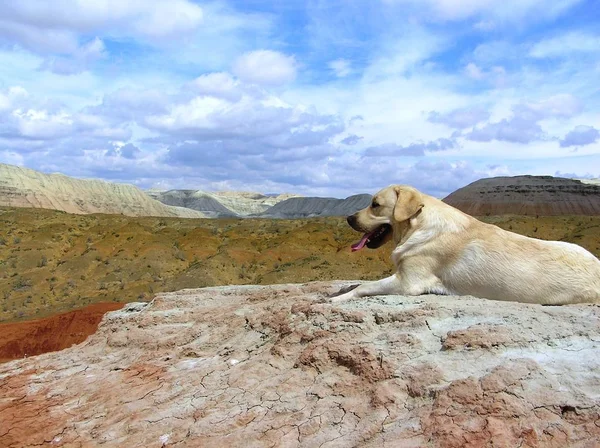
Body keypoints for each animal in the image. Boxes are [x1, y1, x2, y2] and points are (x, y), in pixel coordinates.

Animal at [332, 185, 600, 304]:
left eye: (375, 204)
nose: (349, 218)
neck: (418, 225)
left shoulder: (408, 282)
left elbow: (364, 286)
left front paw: (338, 298)